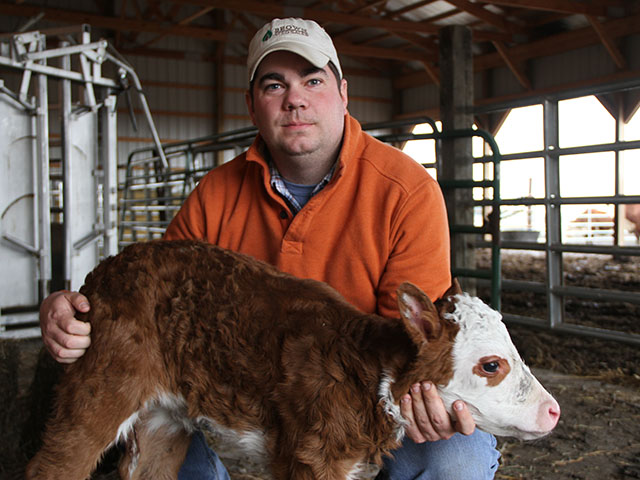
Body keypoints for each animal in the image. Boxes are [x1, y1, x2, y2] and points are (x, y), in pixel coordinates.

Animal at [26, 240, 560, 480]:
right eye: (491, 365)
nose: (553, 410)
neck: (365, 372)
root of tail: (101, 272)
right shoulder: (312, 456)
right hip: (99, 385)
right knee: (54, 463)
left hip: (162, 420)